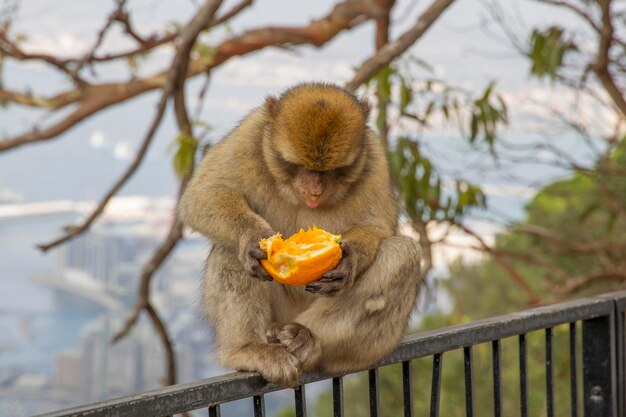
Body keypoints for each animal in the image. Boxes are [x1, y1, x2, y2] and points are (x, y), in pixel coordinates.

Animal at [180, 81, 424, 386]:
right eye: (300, 167)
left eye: (333, 171)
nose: (314, 190)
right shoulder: (250, 134)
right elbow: (203, 194)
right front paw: (252, 234)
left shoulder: (374, 158)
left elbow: (376, 226)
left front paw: (349, 260)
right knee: (230, 251)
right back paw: (248, 349)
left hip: (362, 347)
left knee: (404, 253)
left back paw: (307, 338)